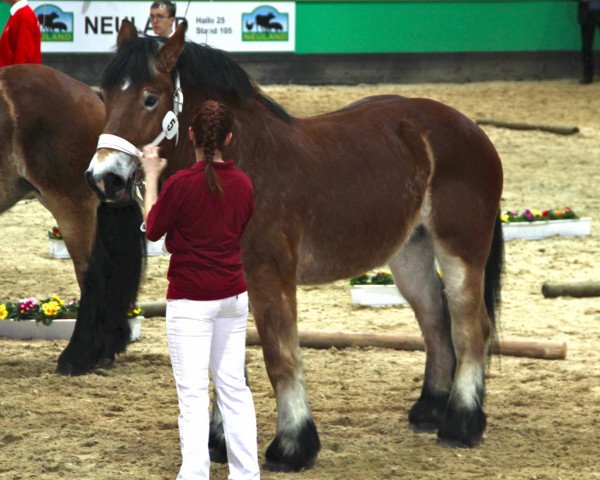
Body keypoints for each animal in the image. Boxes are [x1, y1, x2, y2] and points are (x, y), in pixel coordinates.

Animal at [85, 20, 506, 470]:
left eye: (150, 97)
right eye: (103, 95)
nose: (103, 178)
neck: (239, 165)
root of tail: (471, 128)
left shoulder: (270, 275)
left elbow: (280, 356)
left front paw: (292, 445)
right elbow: (228, 362)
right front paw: (220, 442)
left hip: (461, 252)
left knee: (470, 327)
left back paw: (461, 424)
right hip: (410, 254)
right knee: (434, 322)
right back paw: (430, 410)